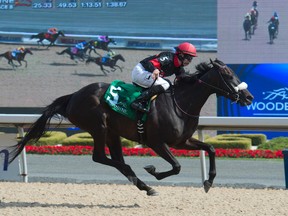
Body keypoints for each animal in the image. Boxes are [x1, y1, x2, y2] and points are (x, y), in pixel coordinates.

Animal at [6, 58, 253, 196]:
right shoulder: (157, 142)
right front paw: (153, 170)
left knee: (116, 159)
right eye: (228, 74)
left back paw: (143, 185)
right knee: (100, 157)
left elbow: (210, 149)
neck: (181, 103)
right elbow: (176, 166)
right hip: (99, 127)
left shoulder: (182, 141)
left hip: (112, 132)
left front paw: (208, 181)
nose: (249, 97)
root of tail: (73, 96)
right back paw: (140, 179)